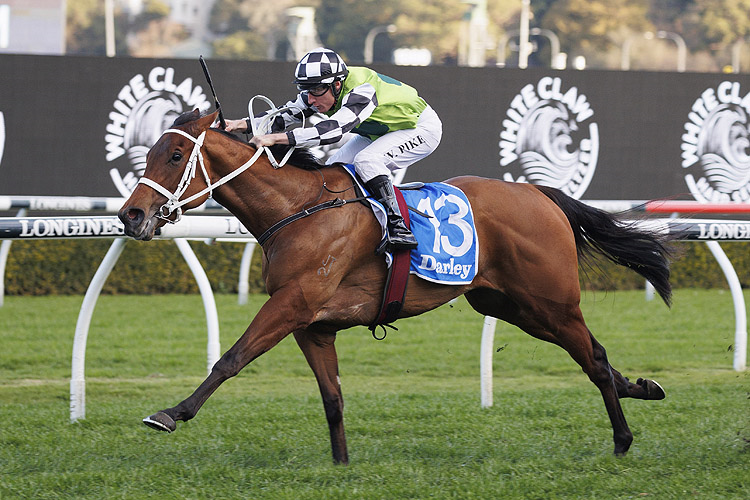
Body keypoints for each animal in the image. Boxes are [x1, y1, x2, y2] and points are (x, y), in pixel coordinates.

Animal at [119, 110, 676, 464]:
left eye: (174, 155)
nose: (131, 215)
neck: (297, 209)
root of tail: (539, 193)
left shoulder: (292, 303)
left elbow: (231, 358)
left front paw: (171, 413)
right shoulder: (312, 325)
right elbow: (332, 397)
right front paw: (342, 465)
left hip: (550, 301)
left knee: (593, 358)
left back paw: (623, 439)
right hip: (510, 304)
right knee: (592, 353)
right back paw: (642, 387)